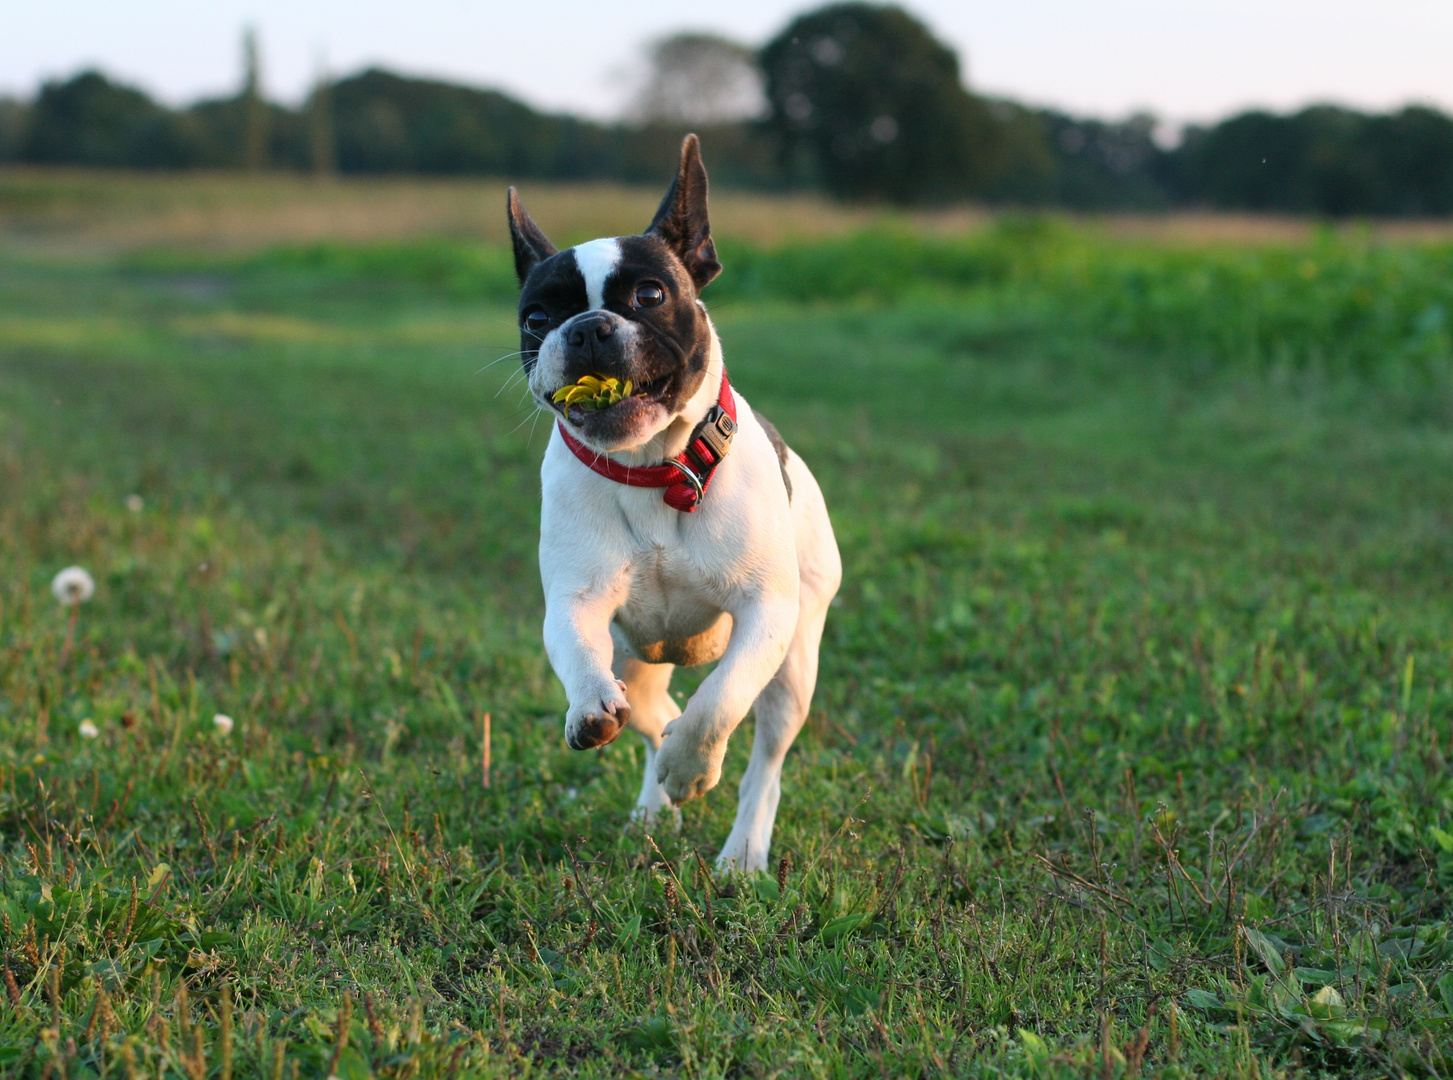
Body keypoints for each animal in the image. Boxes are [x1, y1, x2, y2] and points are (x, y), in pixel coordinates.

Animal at [505, 137, 842, 877]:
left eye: (650, 294)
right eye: (537, 318)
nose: (588, 328)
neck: (652, 467)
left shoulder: (765, 613)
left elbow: (719, 701)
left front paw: (693, 766)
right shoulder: (576, 604)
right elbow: (581, 655)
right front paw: (593, 711)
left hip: (796, 661)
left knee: (763, 754)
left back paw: (742, 849)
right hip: (637, 656)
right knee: (652, 709)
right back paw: (651, 804)